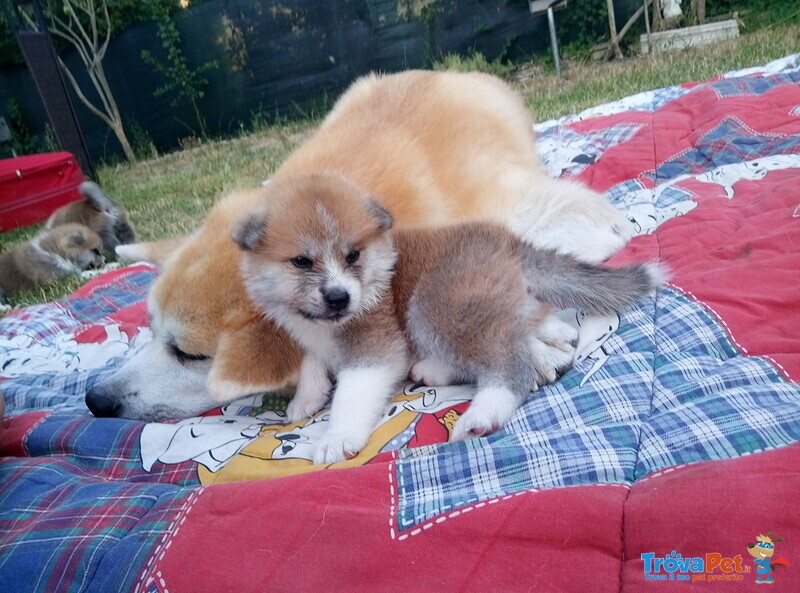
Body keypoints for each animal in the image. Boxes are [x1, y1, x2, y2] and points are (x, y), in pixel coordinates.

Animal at [233, 173, 664, 464]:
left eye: (352, 255)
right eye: (301, 261)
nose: (339, 298)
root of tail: (507, 240)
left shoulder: (375, 345)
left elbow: (352, 395)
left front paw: (335, 438)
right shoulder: (308, 332)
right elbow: (310, 361)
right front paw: (305, 399)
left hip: (435, 302)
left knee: (509, 361)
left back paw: (482, 413)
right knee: (526, 323)